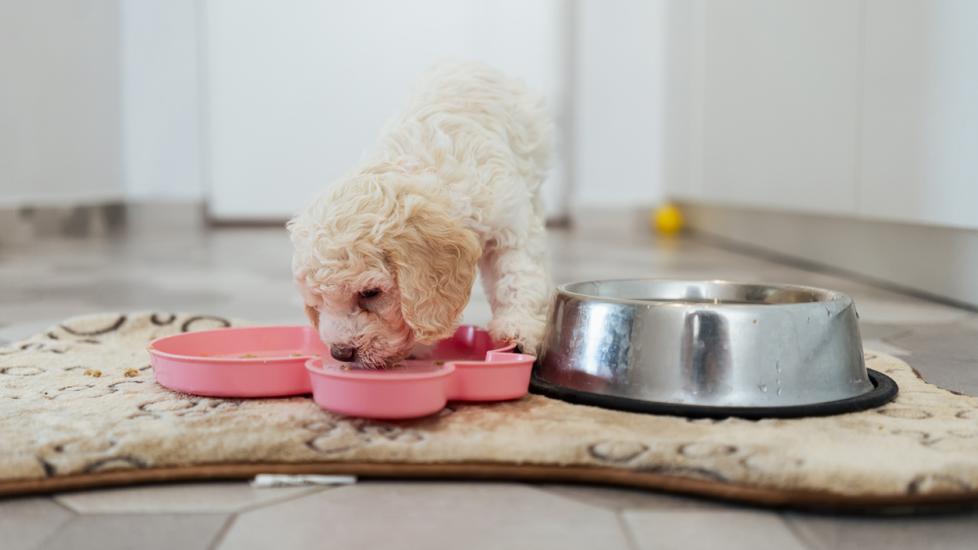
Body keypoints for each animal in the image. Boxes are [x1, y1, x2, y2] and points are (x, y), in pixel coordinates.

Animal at [286, 62, 552, 368]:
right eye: (317, 303)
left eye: (370, 293)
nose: (341, 353)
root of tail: (465, 63)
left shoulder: (511, 226)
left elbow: (517, 278)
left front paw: (519, 329)